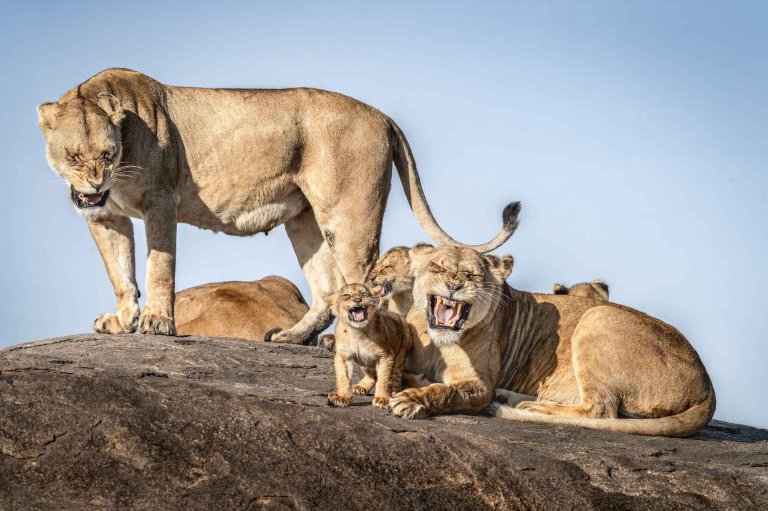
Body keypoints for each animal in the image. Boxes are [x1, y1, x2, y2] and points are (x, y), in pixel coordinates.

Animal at [388, 245, 715, 437]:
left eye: (473, 275)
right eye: (438, 268)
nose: (455, 284)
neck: (439, 342)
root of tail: (708, 387)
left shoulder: (480, 385)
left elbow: (447, 391)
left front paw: (412, 399)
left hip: (597, 316)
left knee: (600, 409)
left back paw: (531, 409)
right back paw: (510, 399)